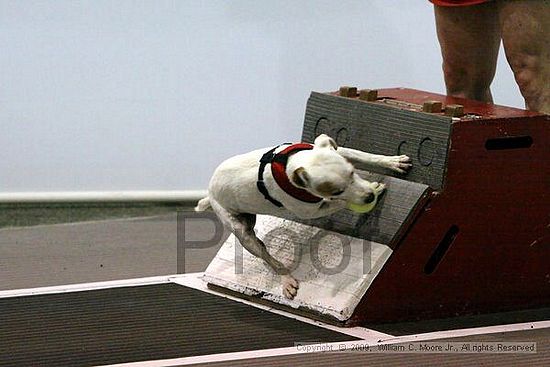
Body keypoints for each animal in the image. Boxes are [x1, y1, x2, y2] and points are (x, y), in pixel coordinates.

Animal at [196, 135, 412, 300]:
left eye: (352, 172)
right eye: (337, 190)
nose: (368, 197)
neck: (289, 165)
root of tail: (210, 192)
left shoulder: (341, 151)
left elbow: (365, 156)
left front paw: (392, 162)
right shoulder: (313, 210)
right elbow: (339, 203)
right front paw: (372, 189)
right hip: (242, 233)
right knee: (266, 256)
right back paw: (286, 279)